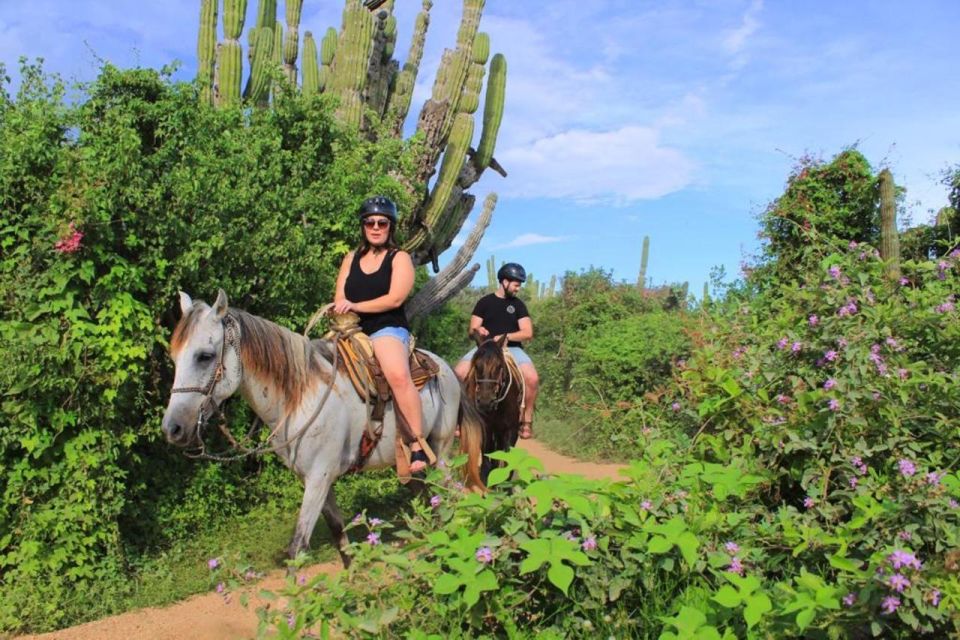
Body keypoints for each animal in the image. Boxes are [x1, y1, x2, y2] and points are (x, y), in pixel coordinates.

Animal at [162, 290, 488, 564]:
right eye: (174, 357)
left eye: (205, 356)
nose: (172, 428)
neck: (299, 396)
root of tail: (445, 367)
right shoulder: (317, 479)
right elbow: (339, 536)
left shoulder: (319, 478)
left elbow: (297, 547)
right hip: (411, 465)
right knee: (431, 499)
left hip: (440, 453)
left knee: (452, 495)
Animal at [462, 336, 520, 484]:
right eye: (477, 366)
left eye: (499, 366)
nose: (485, 401)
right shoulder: (486, 427)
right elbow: (486, 457)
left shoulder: (511, 430)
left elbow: (508, 461)